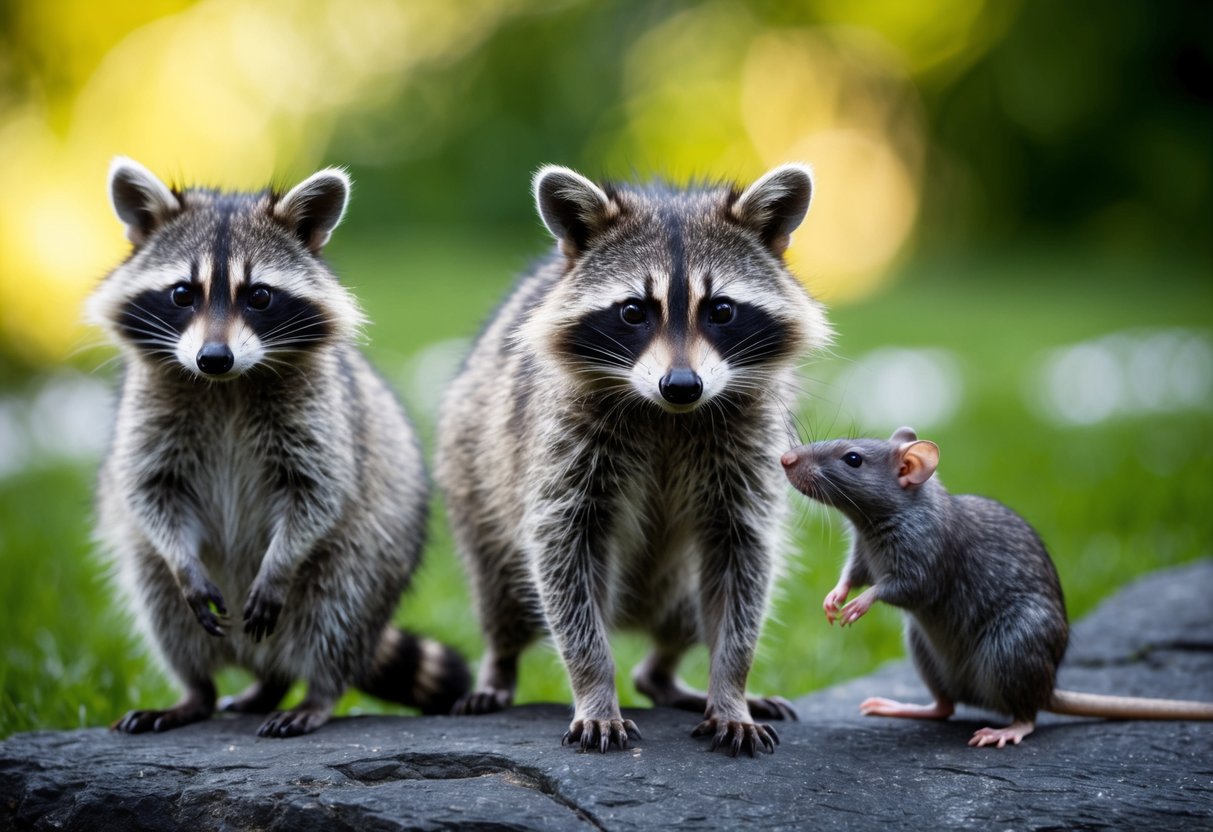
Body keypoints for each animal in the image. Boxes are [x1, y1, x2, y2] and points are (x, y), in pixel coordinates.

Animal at [88, 157, 469, 737]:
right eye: (182, 294)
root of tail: (253, 655)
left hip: (366, 557)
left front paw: (279, 565)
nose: (213, 358)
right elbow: (149, 490)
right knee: (164, 609)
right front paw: (183, 563)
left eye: (260, 296)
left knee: (335, 613)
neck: (226, 386)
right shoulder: (152, 414)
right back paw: (199, 691)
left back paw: (314, 693)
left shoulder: (320, 417)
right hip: (156, 579)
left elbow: (318, 493)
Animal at [436, 164, 831, 756]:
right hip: (474, 476)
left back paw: (667, 677)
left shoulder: (747, 449)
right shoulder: (562, 445)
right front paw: (595, 689)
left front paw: (732, 689)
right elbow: (563, 555)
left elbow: (743, 561)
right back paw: (498, 666)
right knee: (501, 593)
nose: (682, 385)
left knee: (688, 616)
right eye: (632, 312)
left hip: (676, 588)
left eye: (721, 310)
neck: (667, 414)